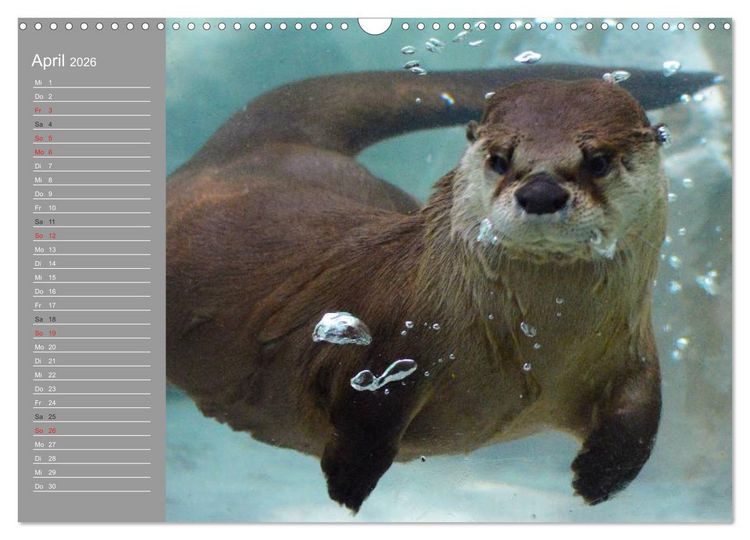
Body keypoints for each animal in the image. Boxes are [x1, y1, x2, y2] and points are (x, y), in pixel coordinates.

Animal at [166, 65, 717, 512]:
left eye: (598, 160)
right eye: (500, 158)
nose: (540, 192)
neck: (538, 348)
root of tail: (255, 150)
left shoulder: (631, 350)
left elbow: (642, 415)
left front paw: (599, 478)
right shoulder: (387, 339)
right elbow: (366, 410)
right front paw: (349, 479)